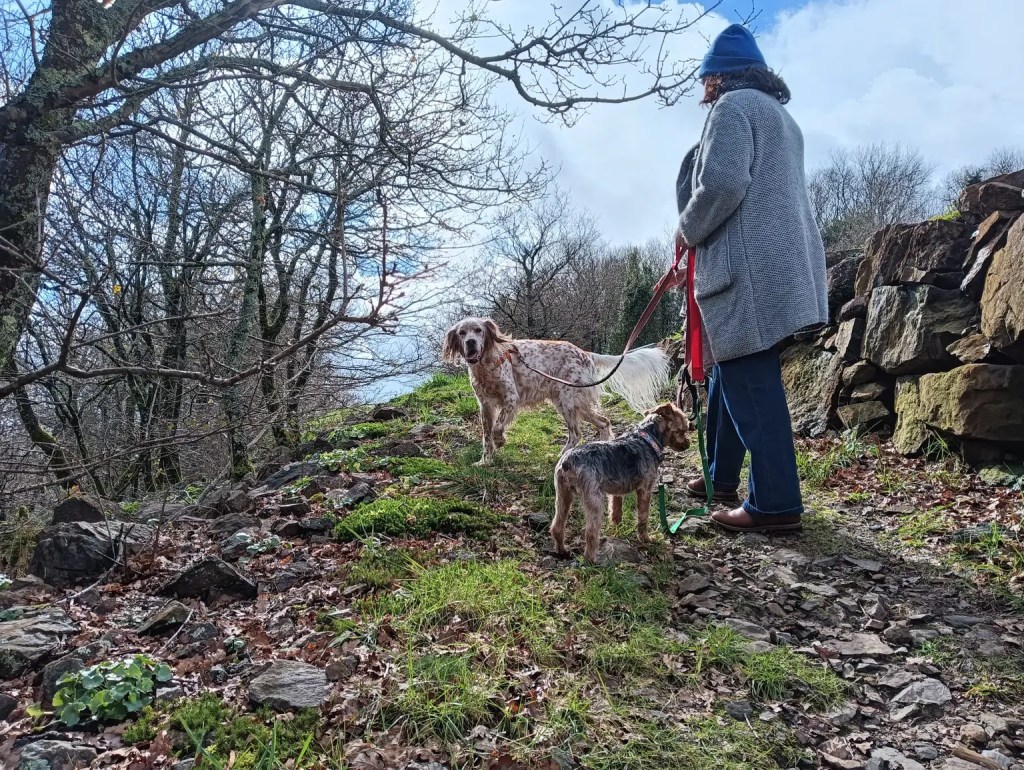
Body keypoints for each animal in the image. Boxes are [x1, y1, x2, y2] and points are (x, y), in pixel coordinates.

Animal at [442, 317, 671, 464]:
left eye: (478, 330)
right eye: (462, 333)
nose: (471, 342)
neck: (486, 364)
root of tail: (586, 353)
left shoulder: (510, 398)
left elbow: (498, 428)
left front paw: (500, 441)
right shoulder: (485, 406)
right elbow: (486, 436)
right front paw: (485, 461)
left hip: (568, 401)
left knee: (576, 433)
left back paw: (562, 455)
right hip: (571, 402)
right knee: (604, 422)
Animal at [550, 402, 690, 563]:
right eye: (682, 430)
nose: (688, 444)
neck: (648, 439)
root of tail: (567, 462)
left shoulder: (616, 491)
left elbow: (616, 510)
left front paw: (616, 528)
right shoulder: (645, 490)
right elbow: (643, 518)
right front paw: (646, 539)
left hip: (563, 494)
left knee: (557, 526)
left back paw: (562, 550)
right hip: (594, 499)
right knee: (590, 532)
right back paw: (591, 560)